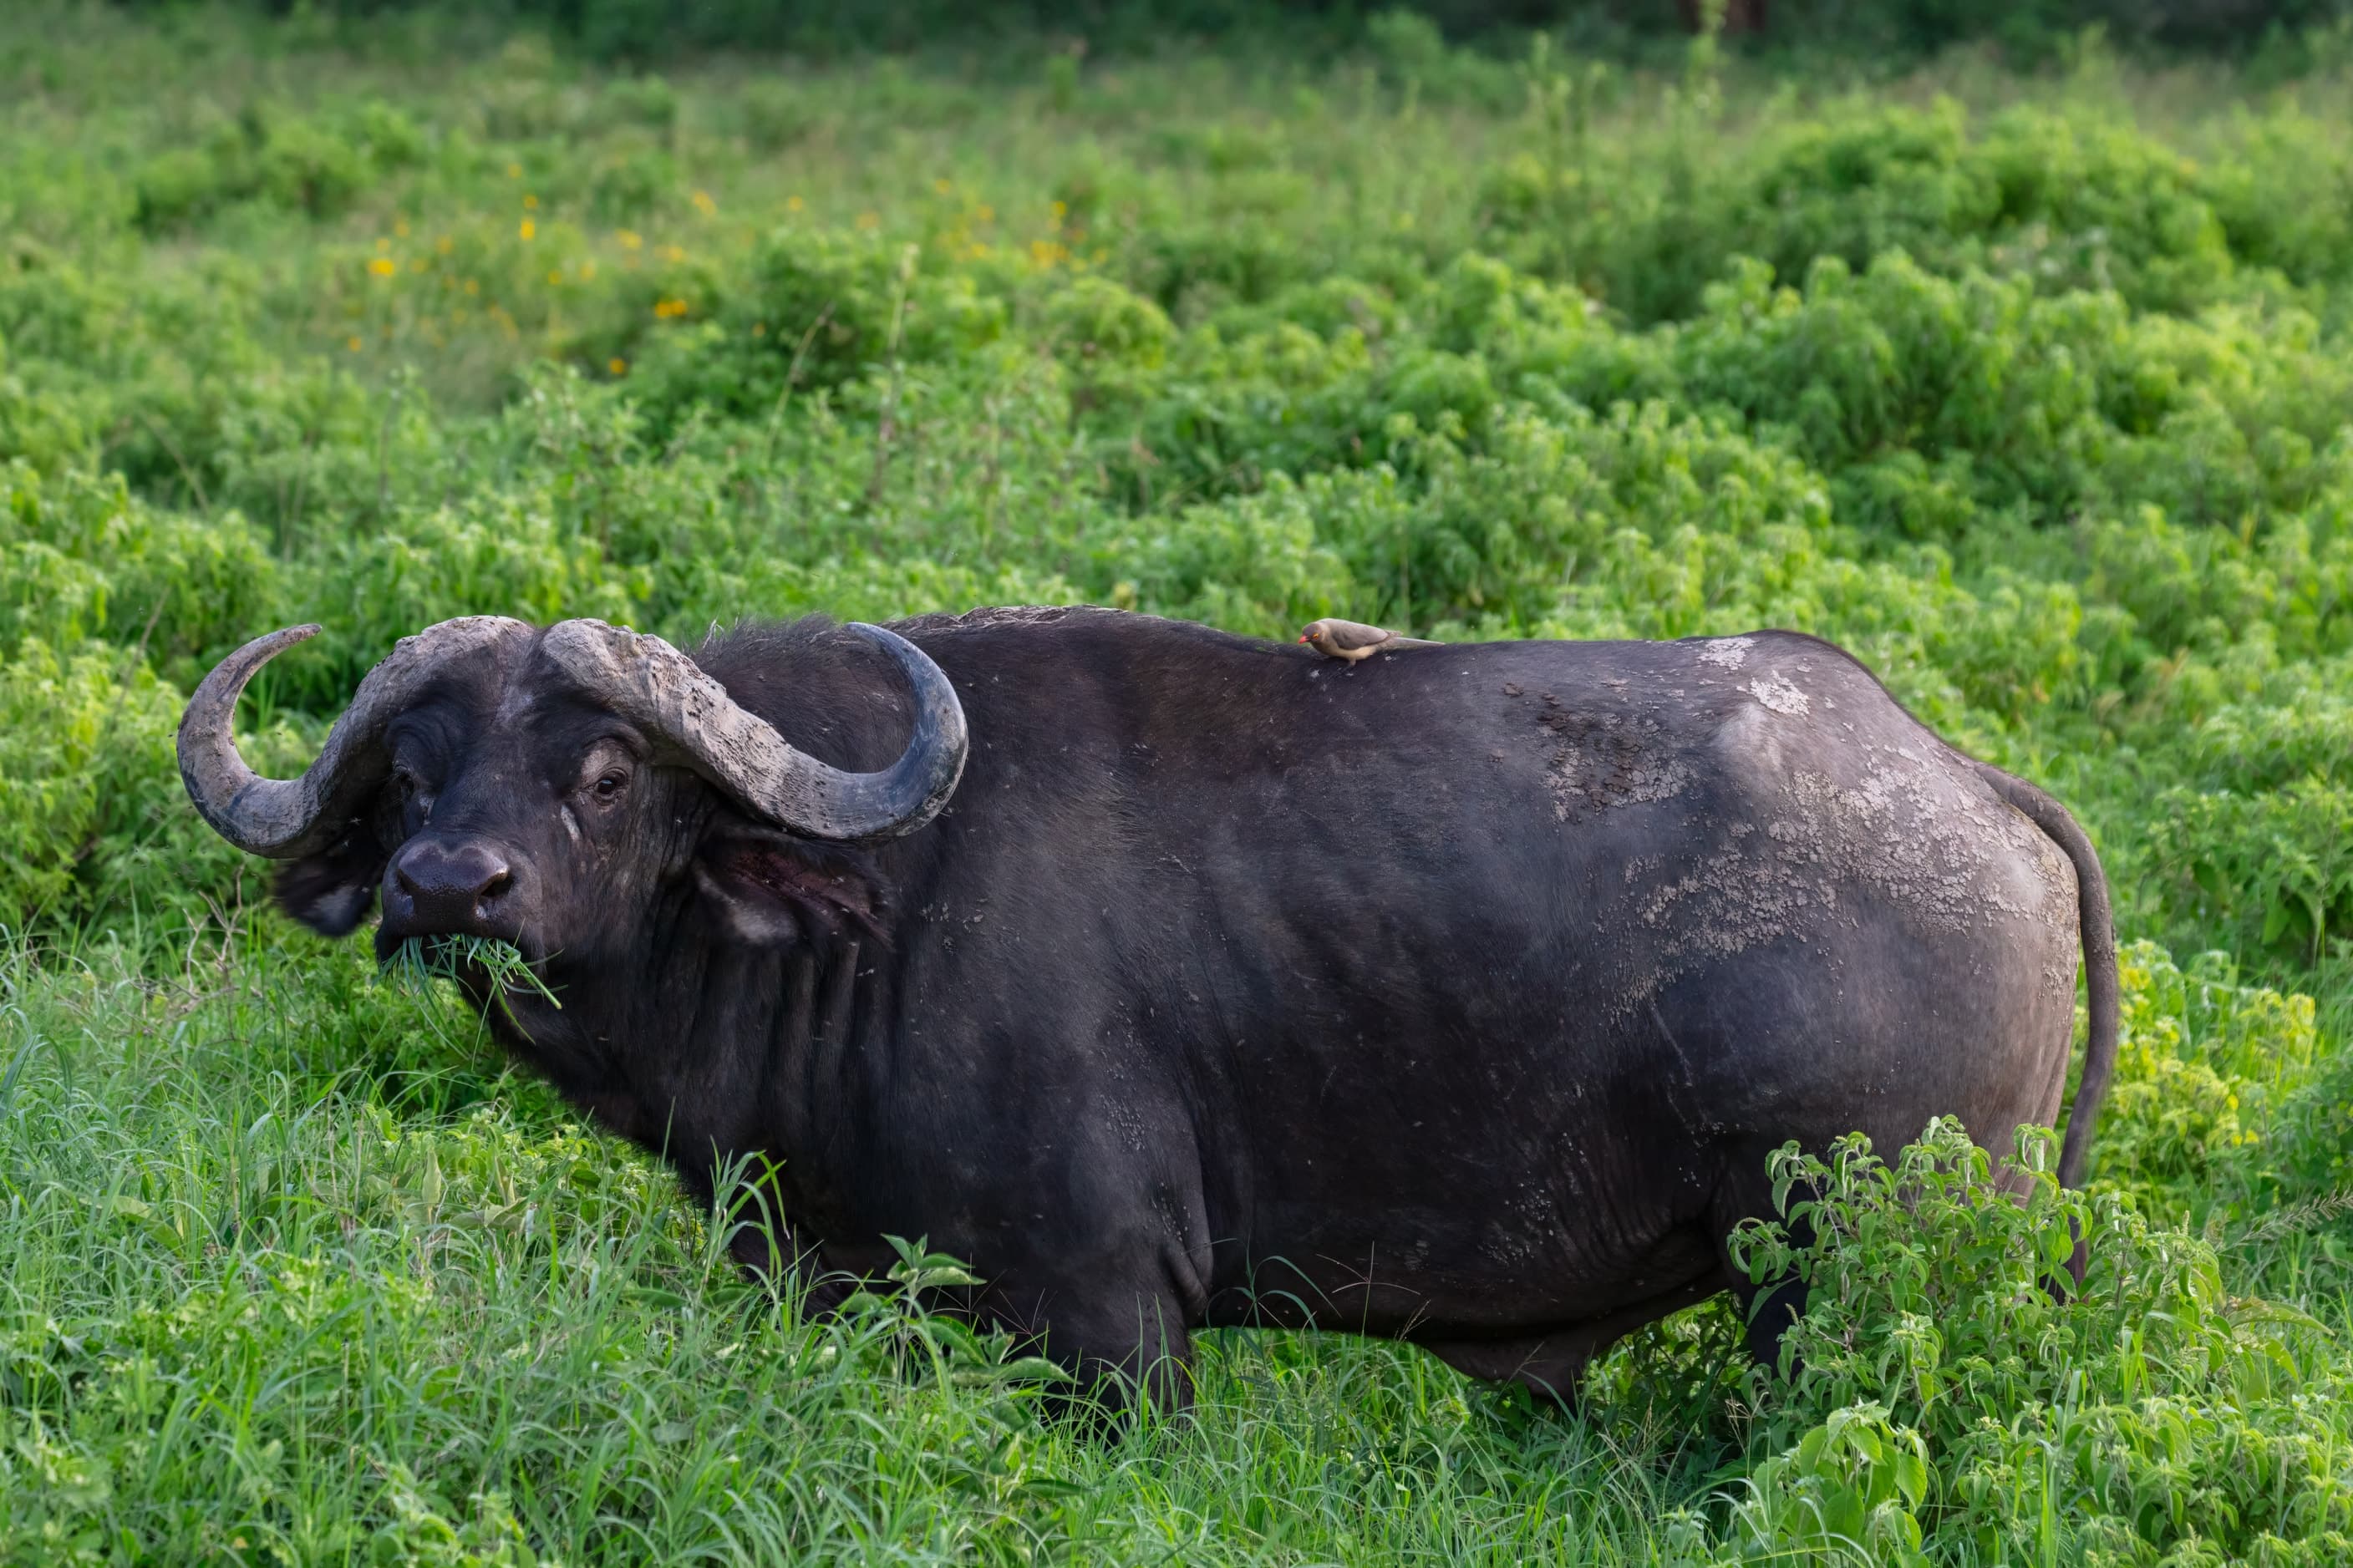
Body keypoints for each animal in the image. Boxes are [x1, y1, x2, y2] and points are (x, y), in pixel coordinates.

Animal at [178, 607, 2116, 1410]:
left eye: (598, 776)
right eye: (410, 778)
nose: (449, 890)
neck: (877, 919)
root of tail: (1967, 784)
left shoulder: (1109, 1318)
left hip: (1843, 1262)